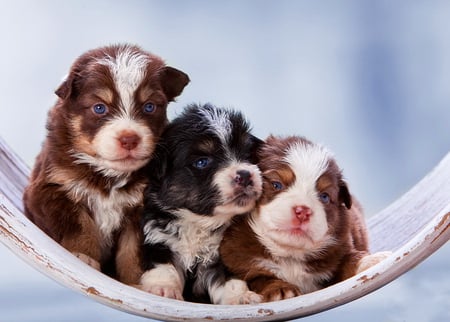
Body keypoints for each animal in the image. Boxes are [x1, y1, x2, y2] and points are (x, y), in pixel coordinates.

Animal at [23, 43, 189, 284]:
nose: (129, 139)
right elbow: (80, 225)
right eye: (99, 108)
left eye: (149, 107)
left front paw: (134, 282)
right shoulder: (52, 188)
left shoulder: (140, 208)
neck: (107, 174)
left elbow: (132, 250)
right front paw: (84, 257)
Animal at [141, 104, 264, 304]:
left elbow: (230, 279)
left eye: (247, 154)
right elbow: (164, 266)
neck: (200, 221)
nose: (245, 175)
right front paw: (163, 288)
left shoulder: (225, 252)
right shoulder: (158, 237)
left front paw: (241, 297)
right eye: (202, 162)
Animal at [221, 135, 390, 302]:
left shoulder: (340, 249)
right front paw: (281, 290)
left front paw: (372, 260)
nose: (302, 211)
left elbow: (350, 260)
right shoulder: (241, 261)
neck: (290, 255)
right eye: (276, 185)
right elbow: (261, 278)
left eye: (324, 196)